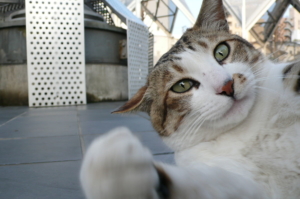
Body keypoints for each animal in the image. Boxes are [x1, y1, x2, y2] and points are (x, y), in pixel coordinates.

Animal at [79, 0, 300, 199]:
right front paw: (113, 169)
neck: (248, 131)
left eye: (221, 51)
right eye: (182, 86)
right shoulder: (248, 181)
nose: (227, 86)